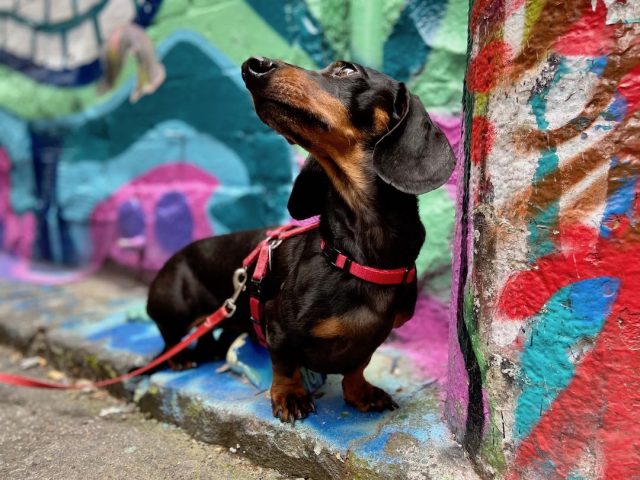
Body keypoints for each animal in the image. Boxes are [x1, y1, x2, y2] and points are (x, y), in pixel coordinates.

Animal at [146, 58, 456, 422]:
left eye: (347, 70)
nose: (253, 66)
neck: (358, 252)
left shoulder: (374, 337)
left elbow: (357, 365)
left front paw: (360, 393)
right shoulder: (278, 325)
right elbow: (285, 364)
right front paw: (290, 396)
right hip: (174, 309)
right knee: (170, 339)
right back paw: (179, 357)